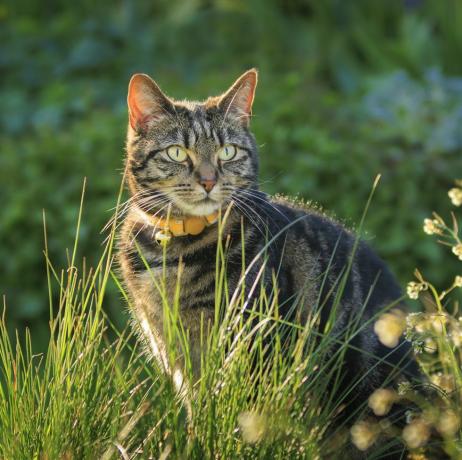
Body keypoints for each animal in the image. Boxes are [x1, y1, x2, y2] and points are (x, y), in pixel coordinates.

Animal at [117, 68, 416, 452]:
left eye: (228, 151)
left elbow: (237, 418)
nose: (209, 180)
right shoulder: (172, 351)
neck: (176, 250)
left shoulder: (252, 346)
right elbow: (198, 413)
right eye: (176, 152)